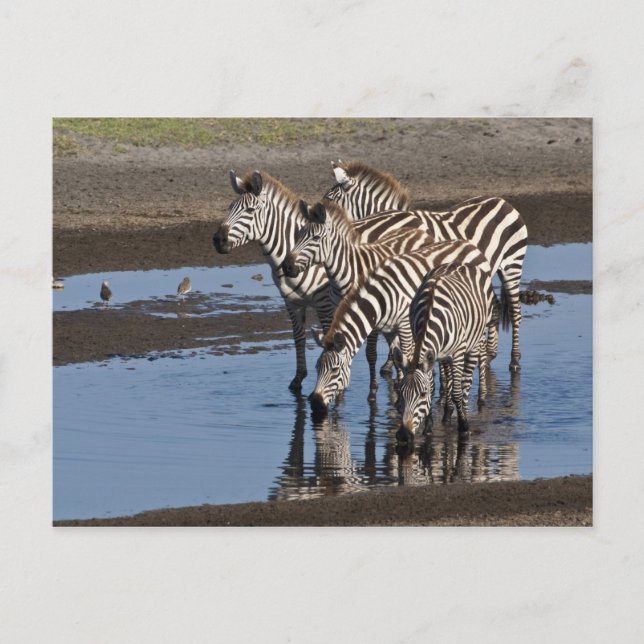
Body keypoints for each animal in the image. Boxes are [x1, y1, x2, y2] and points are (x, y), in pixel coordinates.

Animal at [281, 199, 435, 399]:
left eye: (315, 238)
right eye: (298, 234)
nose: (286, 266)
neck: (343, 274)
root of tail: (417, 231)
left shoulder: (370, 311)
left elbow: (370, 353)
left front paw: (372, 390)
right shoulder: (338, 311)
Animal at [309, 240, 491, 415]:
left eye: (335, 370)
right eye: (317, 368)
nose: (316, 404)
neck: (380, 299)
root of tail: (471, 245)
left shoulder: (404, 326)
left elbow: (406, 354)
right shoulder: (389, 329)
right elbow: (396, 359)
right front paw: (398, 394)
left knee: (482, 350)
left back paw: (482, 396)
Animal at [323, 160, 527, 372]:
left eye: (329, 199)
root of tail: (502, 201)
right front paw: (393, 362)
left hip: (512, 263)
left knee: (515, 311)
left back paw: (514, 360)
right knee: (494, 306)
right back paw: (490, 353)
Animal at [392, 261, 495, 446]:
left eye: (422, 394)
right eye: (401, 394)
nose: (404, 435)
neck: (429, 313)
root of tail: (460, 263)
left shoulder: (458, 352)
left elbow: (457, 392)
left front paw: (464, 426)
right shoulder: (428, 352)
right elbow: (434, 387)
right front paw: (428, 427)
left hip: (475, 339)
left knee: (466, 382)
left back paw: (469, 408)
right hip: (443, 354)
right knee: (448, 377)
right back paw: (447, 413)